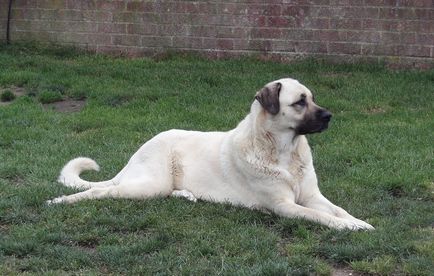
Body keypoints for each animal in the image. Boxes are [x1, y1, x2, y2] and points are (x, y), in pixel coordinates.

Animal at [46, 78, 372, 231]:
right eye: (299, 102)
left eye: (312, 99)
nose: (329, 116)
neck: (283, 151)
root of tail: (138, 152)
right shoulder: (285, 207)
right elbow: (320, 216)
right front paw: (348, 227)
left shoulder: (312, 195)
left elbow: (337, 210)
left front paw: (359, 221)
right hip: (148, 185)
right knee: (101, 193)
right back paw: (59, 201)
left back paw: (187, 195)